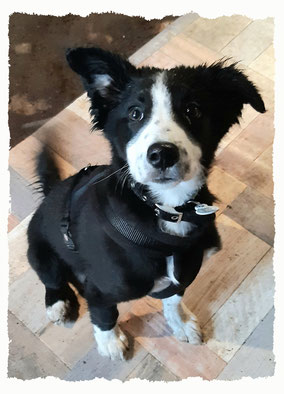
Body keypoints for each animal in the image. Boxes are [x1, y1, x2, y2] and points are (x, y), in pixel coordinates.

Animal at [25, 47, 266, 362]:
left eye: (193, 110)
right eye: (135, 114)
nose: (162, 154)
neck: (166, 211)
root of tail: (52, 191)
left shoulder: (186, 270)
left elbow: (174, 297)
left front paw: (180, 322)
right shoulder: (100, 288)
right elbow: (103, 313)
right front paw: (110, 343)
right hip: (39, 251)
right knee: (51, 278)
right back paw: (59, 303)